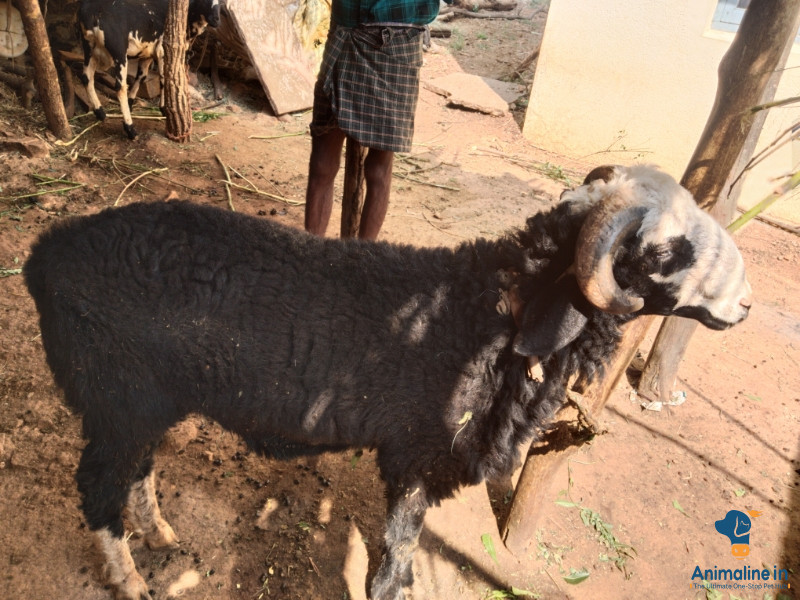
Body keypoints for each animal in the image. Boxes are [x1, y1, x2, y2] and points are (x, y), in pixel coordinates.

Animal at [23, 164, 751, 600]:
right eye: (667, 251)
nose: (745, 305)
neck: (487, 311)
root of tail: (41, 255)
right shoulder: (415, 454)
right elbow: (397, 559)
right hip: (115, 395)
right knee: (97, 486)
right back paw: (128, 578)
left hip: (143, 403)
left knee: (136, 471)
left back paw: (159, 536)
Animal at [77, 0, 221, 140]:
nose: (216, 20)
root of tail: (93, 12)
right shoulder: (162, 49)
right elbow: (163, 78)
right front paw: (163, 109)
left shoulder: (147, 54)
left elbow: (141, 77)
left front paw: (130, 103)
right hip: (118, 50)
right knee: (120, 87)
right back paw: (130, 129)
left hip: (89, 46)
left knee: (87, 77)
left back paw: (100, 112)